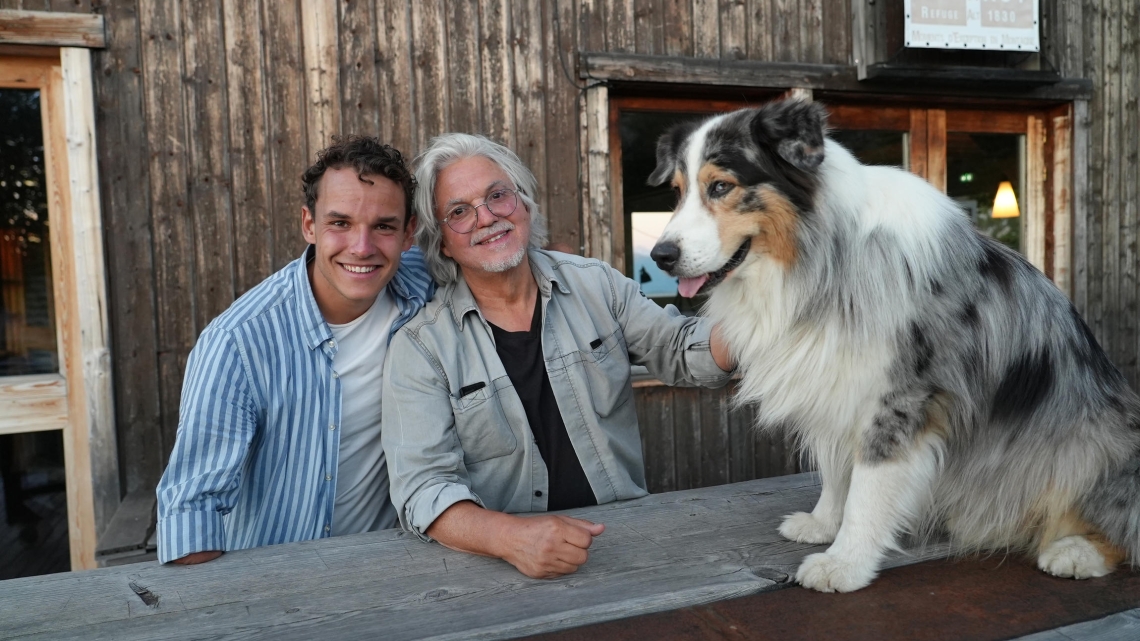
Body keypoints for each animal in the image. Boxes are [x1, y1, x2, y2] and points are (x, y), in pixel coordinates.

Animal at [652, 97, 1140, 593]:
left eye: (720, 186)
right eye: (677, 191)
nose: (660, 256)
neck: (825, 256)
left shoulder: (901, 396)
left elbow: (867, 488)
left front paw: (845, 562)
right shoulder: (834, 381)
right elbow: (836, 469)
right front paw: (823, 523)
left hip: (1092, 445)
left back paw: (1076, 551)